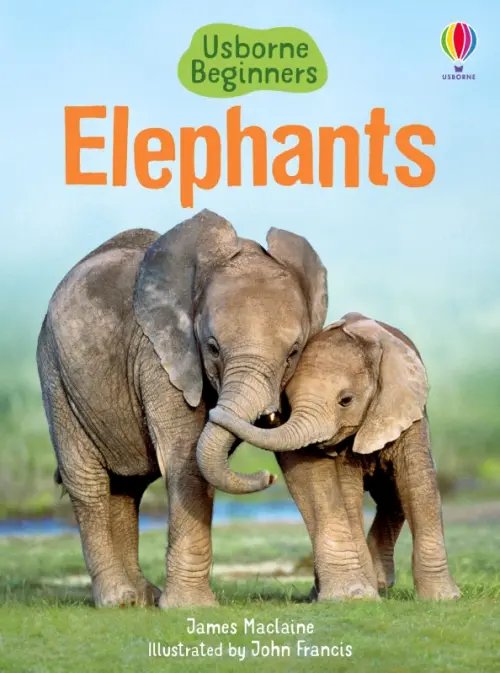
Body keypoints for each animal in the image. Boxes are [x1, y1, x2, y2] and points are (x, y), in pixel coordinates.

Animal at [36, 209, 330, 608]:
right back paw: (119, 600)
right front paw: (191, 607)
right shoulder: (159, 358)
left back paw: (142, 597)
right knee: (88, 481)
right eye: (212, 347)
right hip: (55, 373)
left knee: (126, 488)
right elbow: (186, 457)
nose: (267, 477)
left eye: (293, 352)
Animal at [210, 312, 460, 600]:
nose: (269, 477)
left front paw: (444, 598)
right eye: (288, 401)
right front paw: (362, 595)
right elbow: (348, 494)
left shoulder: (407, 413)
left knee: (393, 495)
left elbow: (417, 484)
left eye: (346, 400)